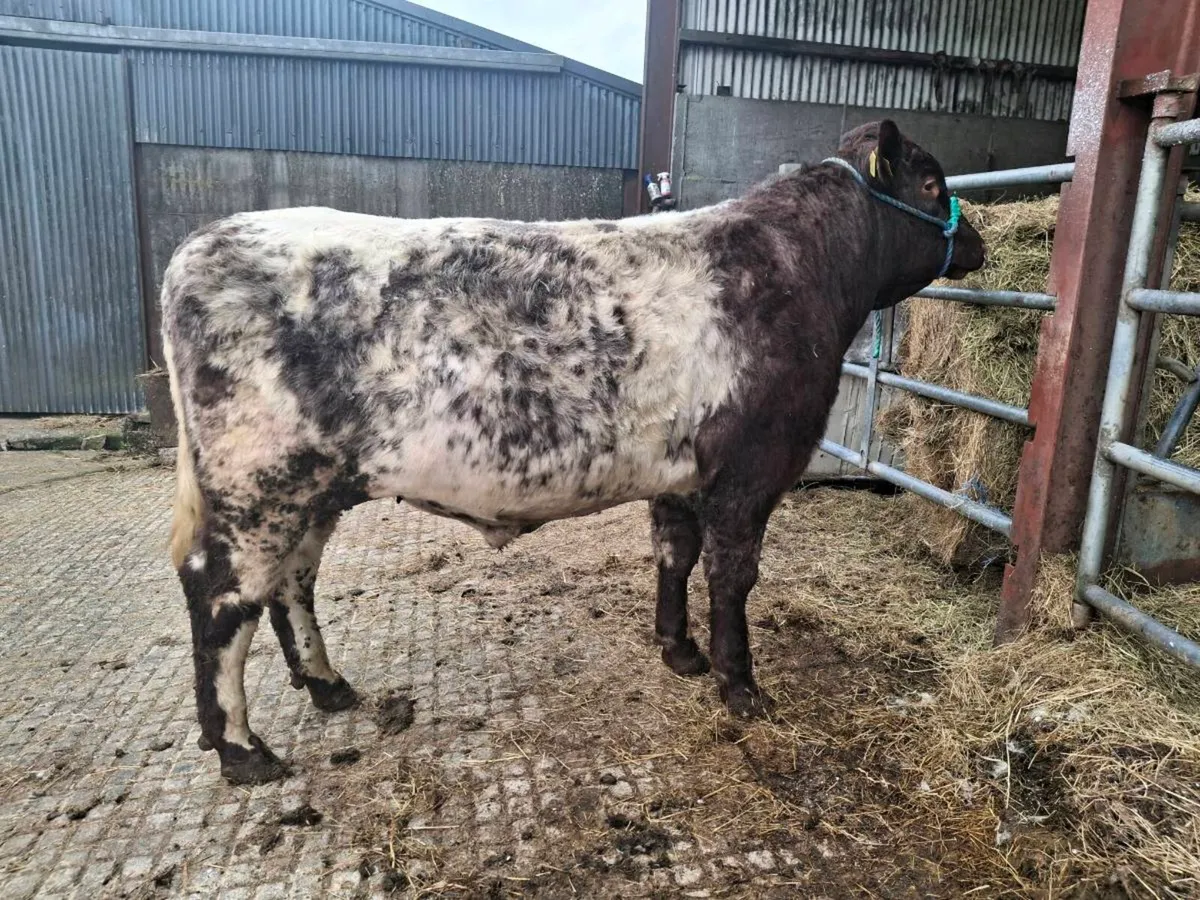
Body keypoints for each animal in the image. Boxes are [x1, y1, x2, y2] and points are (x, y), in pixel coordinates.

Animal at [161, 120, 985, 784]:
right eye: (932, 181)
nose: (976, 243)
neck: (796, 273)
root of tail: (202, 242)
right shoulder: (751, 472)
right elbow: (732, 578)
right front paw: (741, 686)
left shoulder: (680, 473)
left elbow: (673, 554)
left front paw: (678, 651)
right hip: (257, 483)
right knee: (222, 595)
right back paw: (242, 749)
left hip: (310, 489)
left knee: (292, 583)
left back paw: (328, 685)